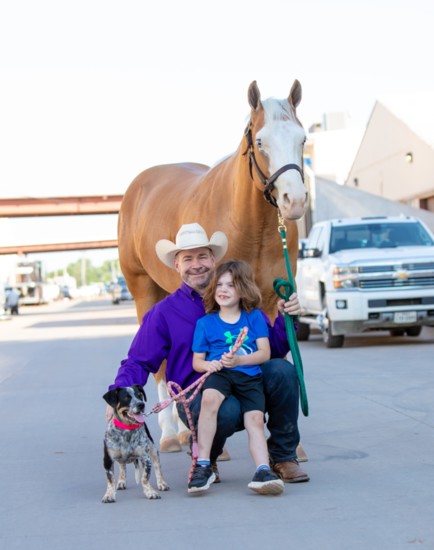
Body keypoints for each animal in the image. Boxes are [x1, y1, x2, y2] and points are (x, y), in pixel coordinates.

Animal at [118, 81, 306, 452]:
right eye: (260, 141)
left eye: (303, 138)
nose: (295, 200)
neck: (252, 226)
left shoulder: (269, 301)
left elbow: (276, 354)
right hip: (143, 290)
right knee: (161, 367)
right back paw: (172, 433)